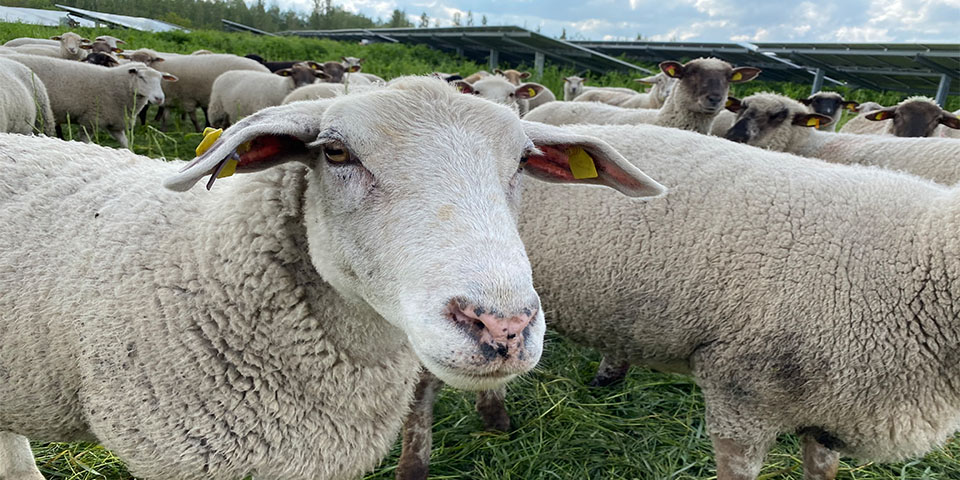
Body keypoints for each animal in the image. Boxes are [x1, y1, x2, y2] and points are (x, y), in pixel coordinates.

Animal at [6, 55, 176, 149]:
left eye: (160, 80)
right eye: (141, 77)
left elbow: (126, 144)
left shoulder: (115, 125)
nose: (159, 98)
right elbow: (86, 142)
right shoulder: (90, 121)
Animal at [401, 119, 960, 480]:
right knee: (421, 391)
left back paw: (495, 419)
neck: (925, 264)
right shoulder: (740, 394)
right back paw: (416, 463)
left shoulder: (830, 413)